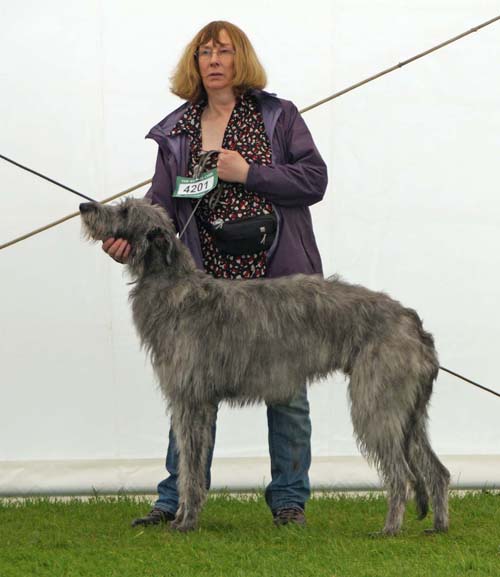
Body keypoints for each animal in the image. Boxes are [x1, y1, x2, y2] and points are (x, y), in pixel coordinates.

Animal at [81, 198, 450, 536]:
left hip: (376, 402)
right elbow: (188, 463)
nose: (85, 206)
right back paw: (439, 526)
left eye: (125, 210)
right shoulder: (193, 403)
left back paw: (390, 529)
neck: (176, 289)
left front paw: (186, 522)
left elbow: (190, 467)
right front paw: (182, 516)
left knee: (401, 473)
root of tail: (413, 323)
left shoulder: (192, 401)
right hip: (408, 411)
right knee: (437, 470)